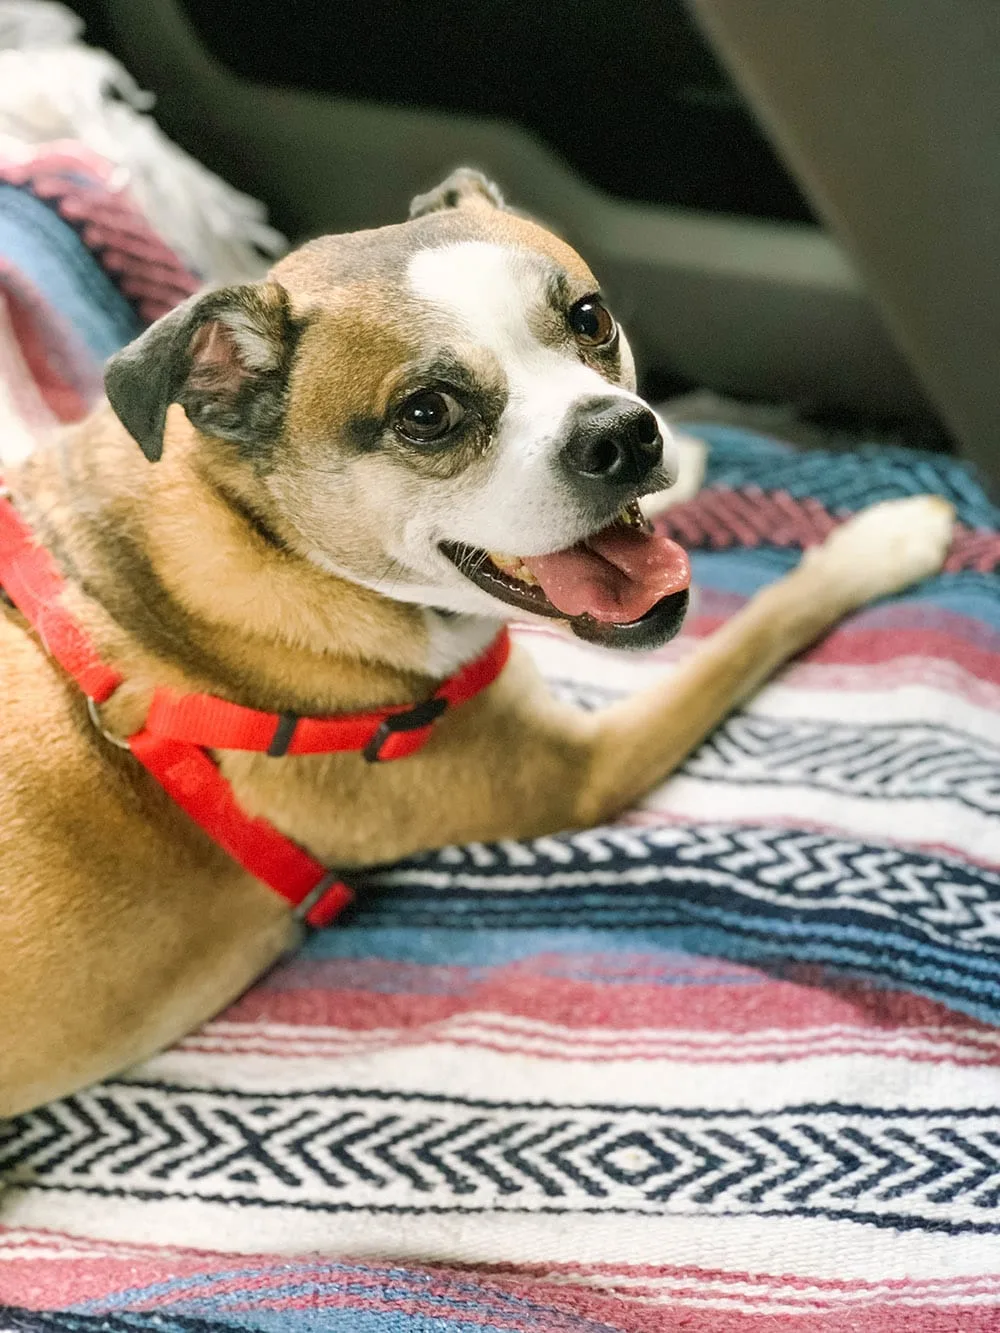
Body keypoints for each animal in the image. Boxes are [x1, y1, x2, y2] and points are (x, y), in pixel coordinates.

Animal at [0, 174, 954, 1114]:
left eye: (589, 318)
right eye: (427, 413)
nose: (624, 432)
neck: (260, 531)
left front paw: (691, 456)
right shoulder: (581, 768)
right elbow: (761, 625)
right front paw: (886, 541)